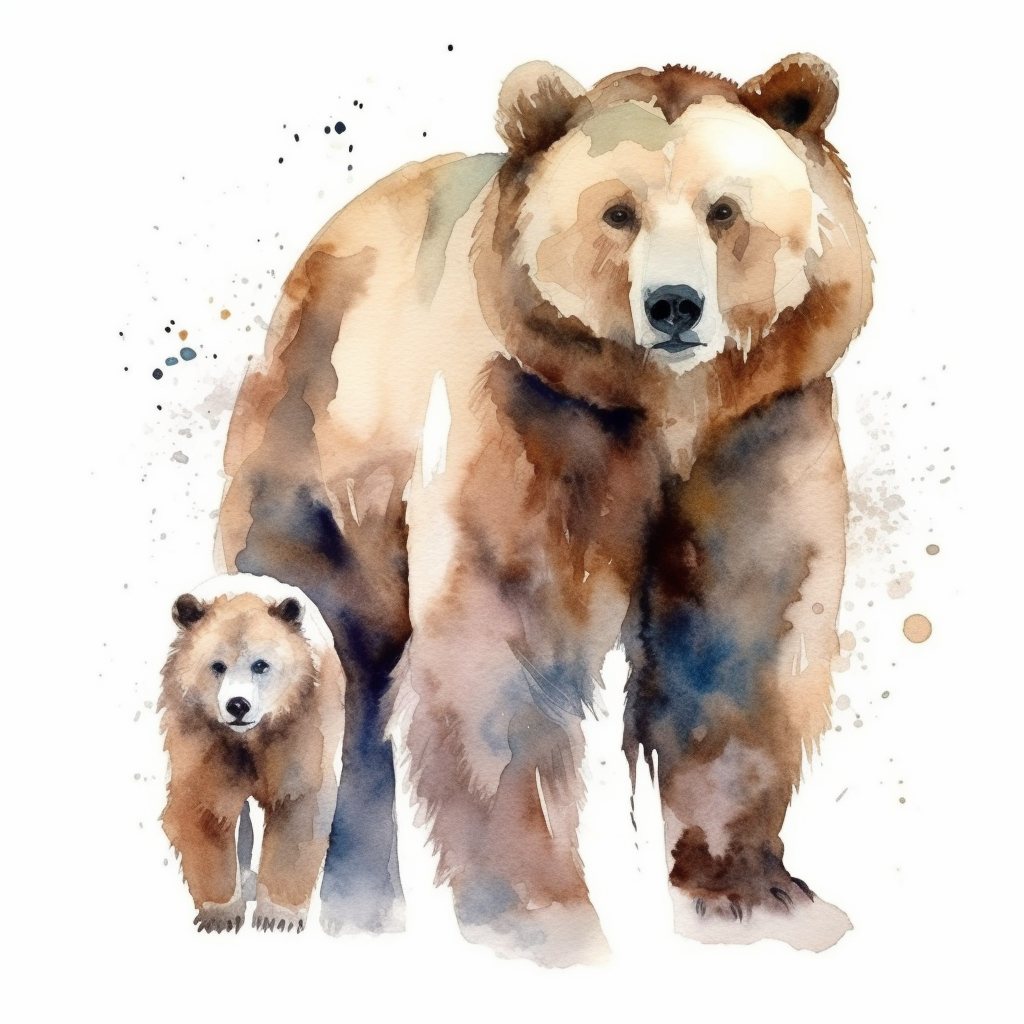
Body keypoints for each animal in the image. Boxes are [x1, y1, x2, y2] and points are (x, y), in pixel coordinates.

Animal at [159, 574, 345, 933]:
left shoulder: (300, 722)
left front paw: (278, 916)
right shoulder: (200, 730)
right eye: (217, 665)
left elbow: (298, 804)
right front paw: (221, 915)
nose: (237, 705)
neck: (249, 737)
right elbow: (204, 807)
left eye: (261, 665)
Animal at [215, 54, 873, 963]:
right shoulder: (535, 415)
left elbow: (740, 632)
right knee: (339, 654)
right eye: (619, 212)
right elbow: (506, 636)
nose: (674, 305)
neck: (663, 408)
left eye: (724, 210)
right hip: (320, 446)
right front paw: (539, 914)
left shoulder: (759, 431)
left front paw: (751, 894)